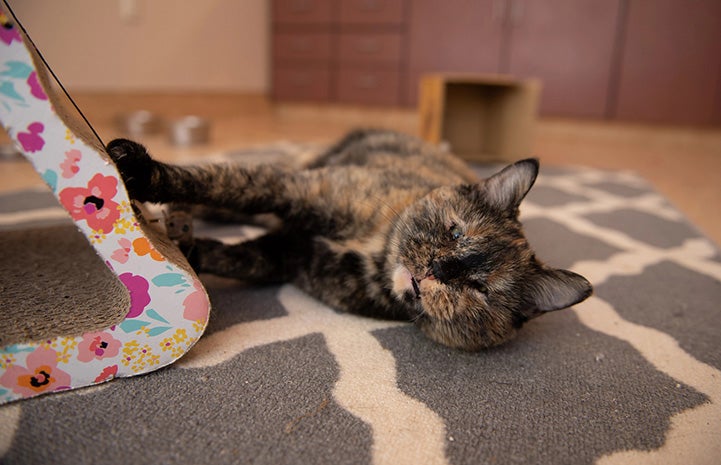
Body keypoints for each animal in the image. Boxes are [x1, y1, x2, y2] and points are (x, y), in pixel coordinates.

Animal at [107, 129, 592, 350]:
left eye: (478, 288)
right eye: (455, 231)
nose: (438, 268)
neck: (374, 251)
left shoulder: (287, 256)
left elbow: (231, 258)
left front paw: (189, 254)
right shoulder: (292, 190)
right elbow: (222, 182)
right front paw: (137, 170)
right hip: (299, 168)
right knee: (227, 196)